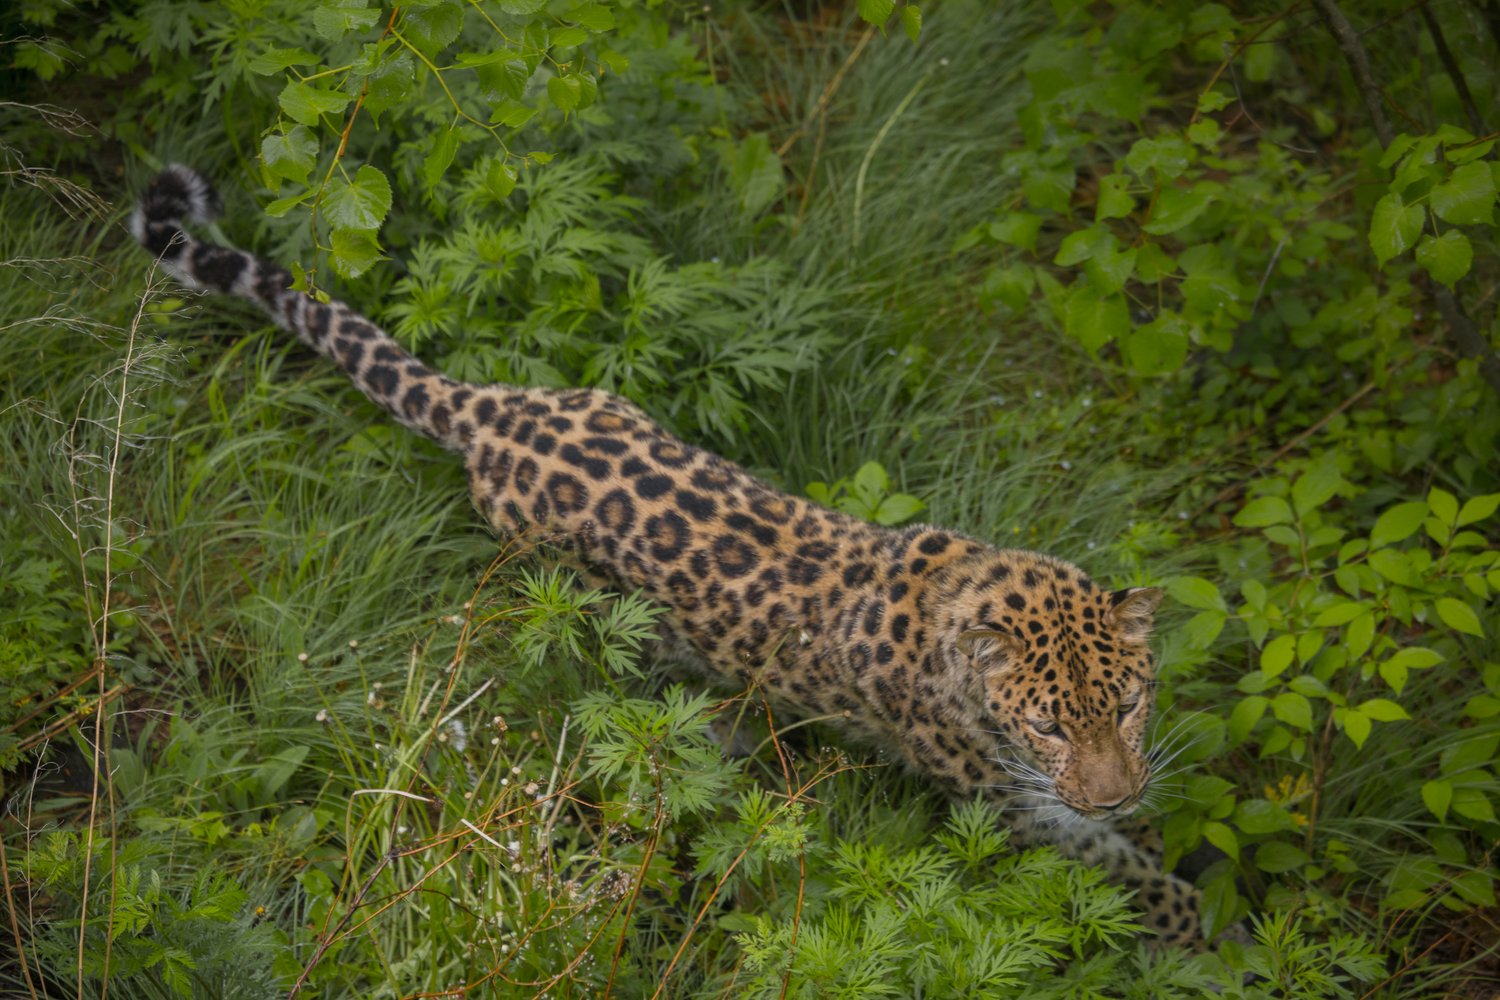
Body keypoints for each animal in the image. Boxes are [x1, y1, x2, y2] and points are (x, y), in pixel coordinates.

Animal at [132, 164, 1218, 947]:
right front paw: (1192, 921)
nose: (1120, 786)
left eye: (1127, 703)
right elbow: (1109, 859)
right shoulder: (1006, 800)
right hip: (585, 604)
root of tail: (495, 411)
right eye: (1048, 725)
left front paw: (1158, 832)